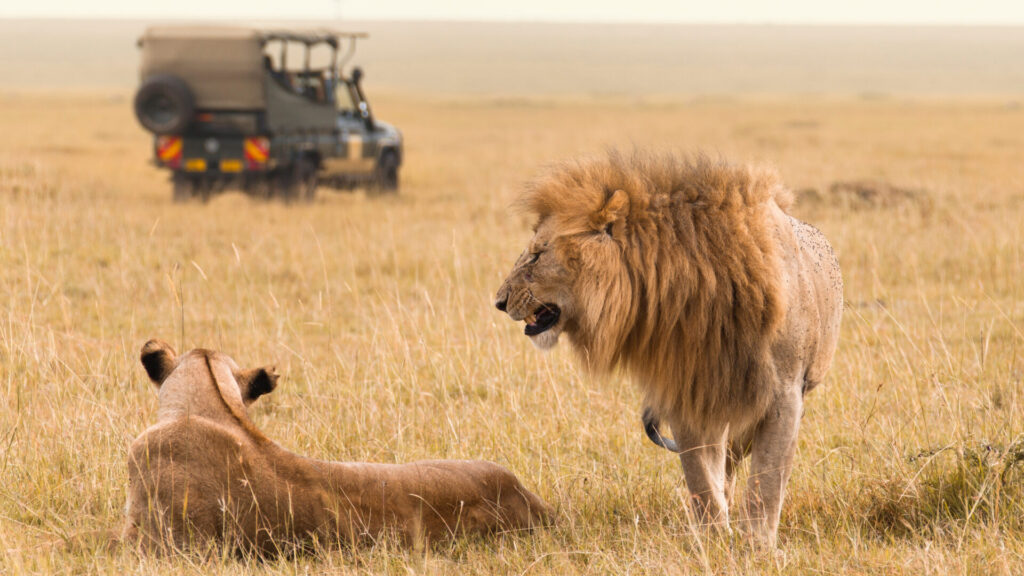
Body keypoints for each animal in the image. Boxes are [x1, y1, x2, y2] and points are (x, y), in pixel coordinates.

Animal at [494, 150, 842, 547]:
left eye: (537, 256)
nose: (499, 302)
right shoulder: (688, 392)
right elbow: (700, 477)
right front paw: (713, 538)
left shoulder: (784, 394)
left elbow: (767, 480)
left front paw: (757, 545)